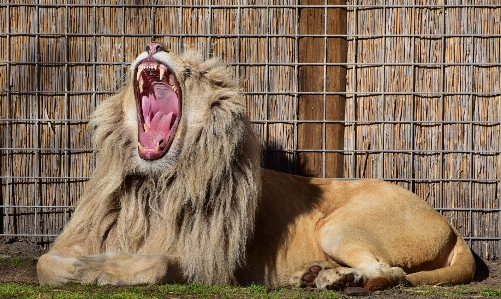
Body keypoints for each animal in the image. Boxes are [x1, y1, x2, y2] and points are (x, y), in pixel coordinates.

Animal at [37, 43, 474, 292]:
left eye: (191, 72)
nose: (153, 45)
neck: (153, 184)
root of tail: (452, 226)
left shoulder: (206, 265)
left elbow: (157, 264)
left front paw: (98, 270)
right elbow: (45, 262)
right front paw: (80, 267)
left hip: (338, 226)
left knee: (391, 270)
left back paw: (339, 279)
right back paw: (315, 276)